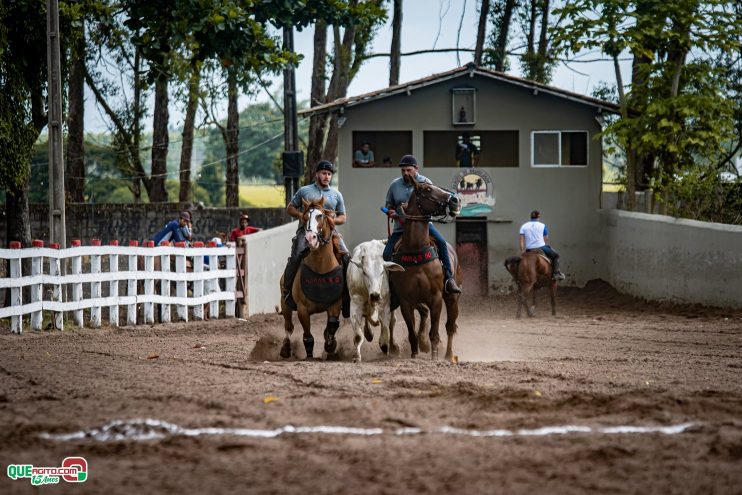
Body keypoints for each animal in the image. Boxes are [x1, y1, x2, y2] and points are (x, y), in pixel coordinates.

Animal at [282, 198, 346, 360]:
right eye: (305, 218)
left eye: (320, 216)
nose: (311, 238)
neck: (321, 267)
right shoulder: (302, 309)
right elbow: (308, 337)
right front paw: (310, 355)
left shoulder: (335, 304)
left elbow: (332, 324)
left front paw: (330, 345)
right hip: (285, 305)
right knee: (288, 327)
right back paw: (285, 349)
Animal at [390, 180, 464, 362]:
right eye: (428, 189)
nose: (456, 200)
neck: (416, 250)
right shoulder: (406, 301)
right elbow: (411, 332)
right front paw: (415, 354)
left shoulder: (436, 298)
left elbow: (435, 332)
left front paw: (434, 356)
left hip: (452, 297)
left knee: (450, 326)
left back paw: (448, 355)